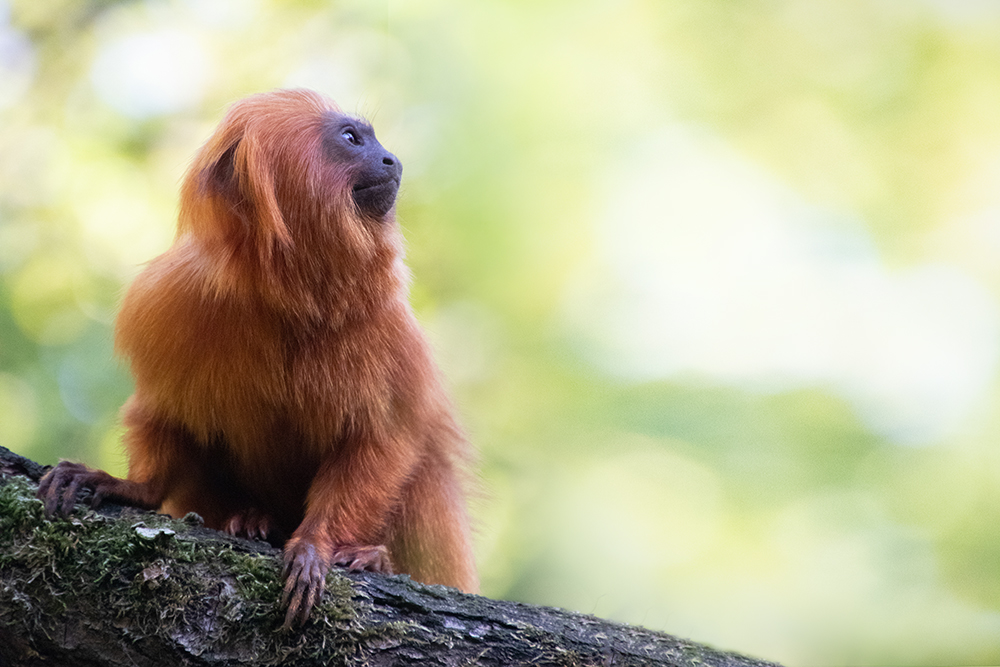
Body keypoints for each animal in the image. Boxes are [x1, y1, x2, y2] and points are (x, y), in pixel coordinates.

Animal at [35, 87, 480, 628]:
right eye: (353, 139)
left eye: (372, 140)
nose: (391, 159)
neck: (285, 297)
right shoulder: (165, 306)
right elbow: (164, 416)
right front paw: (131, 486)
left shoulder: (391, 331)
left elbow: (381, 439)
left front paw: (316, 544)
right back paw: (251, 520)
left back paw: (376, 559)